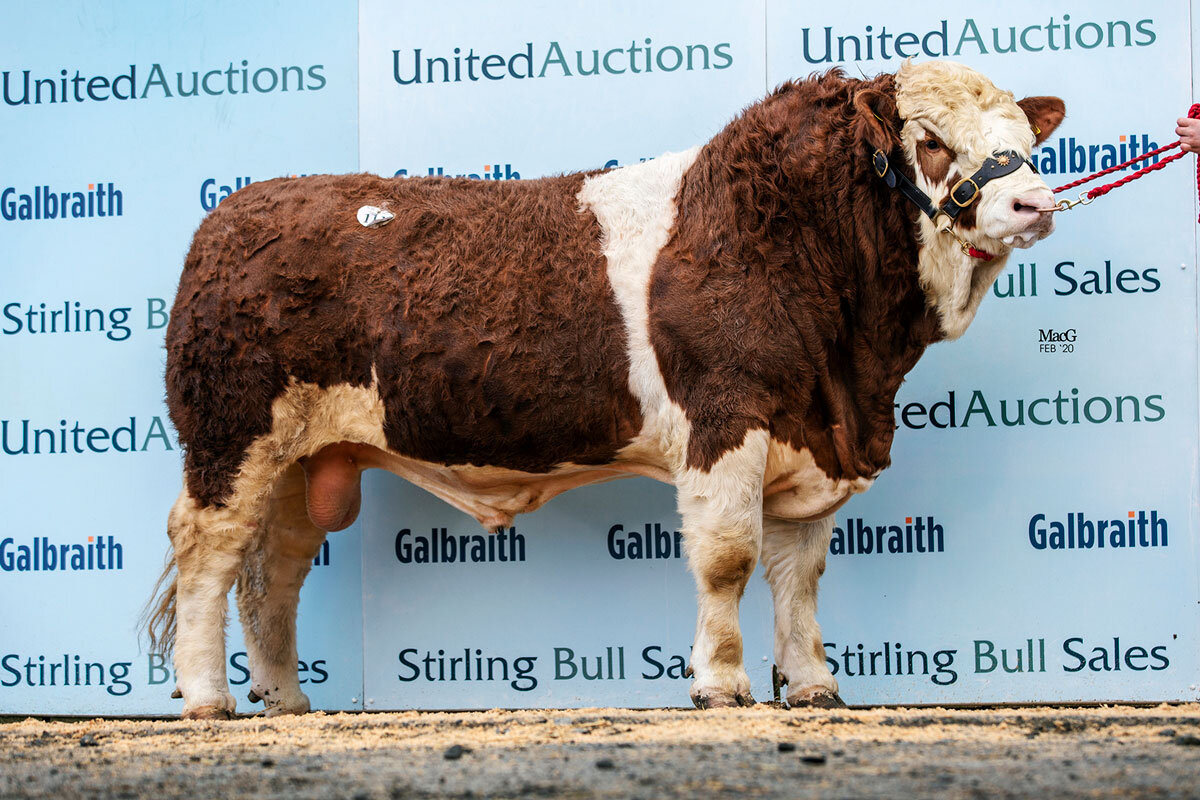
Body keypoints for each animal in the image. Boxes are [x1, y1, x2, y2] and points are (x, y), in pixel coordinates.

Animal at [147, 59, 1060, 714]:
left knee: (273, 568)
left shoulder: (812, 441)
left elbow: (798, 577)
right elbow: (728, 559)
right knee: (207, 550)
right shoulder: (726, 419)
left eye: (1027, 139)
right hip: (228, 434)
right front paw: (720, 685)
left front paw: (813, 687)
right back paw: (207, 698)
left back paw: (286, 699)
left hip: (306, 455)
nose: (1036, 202)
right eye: (931, 140)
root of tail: (232, 215)